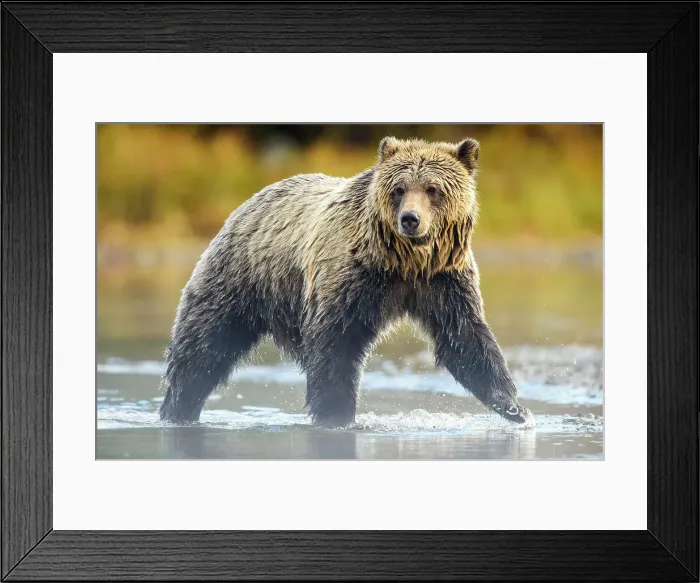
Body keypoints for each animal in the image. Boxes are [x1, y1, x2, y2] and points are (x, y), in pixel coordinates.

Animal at [159, 136, 533, 427]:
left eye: (433, 189)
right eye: (399, 189)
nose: (410, 219)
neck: (404, 262)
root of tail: (248, 202)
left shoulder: (443, 280)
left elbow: (464, 337)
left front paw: (514, 407)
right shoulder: (352, 277)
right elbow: (335, 343)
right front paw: (336, 413)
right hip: (238, 278)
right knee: (203, 347)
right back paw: (177, 408)